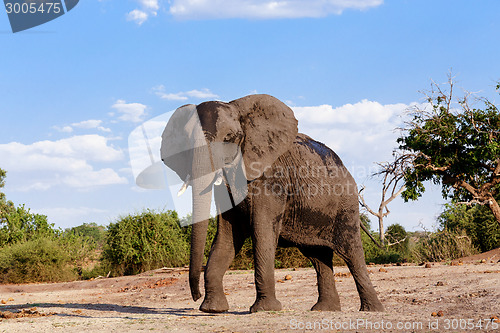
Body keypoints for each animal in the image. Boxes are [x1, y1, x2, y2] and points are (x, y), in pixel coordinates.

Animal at [160, 94, 382, 314]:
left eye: (229, 138)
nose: (195, 296)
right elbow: (226, 236)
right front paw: (212, 310)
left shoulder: (272, 180)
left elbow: (262, 232)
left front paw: (265, 309)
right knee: (318, 257)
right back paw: (324, 310)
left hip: (346, 205)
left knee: (352, 253)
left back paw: (372, 310)